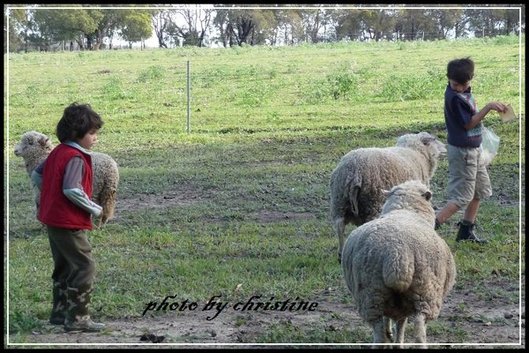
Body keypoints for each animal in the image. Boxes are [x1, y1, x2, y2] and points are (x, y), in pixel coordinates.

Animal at [330, 132, 446, 262]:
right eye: (434, 140)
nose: (445, 147)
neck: (416, 152)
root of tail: (354, 172)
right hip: (372, 202)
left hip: (339, 201)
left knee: (339, 225)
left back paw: (340, 253)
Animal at [340, 180, 456, 348]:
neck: (405, 209)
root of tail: (397, 255)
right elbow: (401, 324)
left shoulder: (398, 306)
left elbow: (398, 323)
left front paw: (394, 338)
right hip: (426, 295)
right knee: (419, 333)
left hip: (372, 295)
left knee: (380, 334)